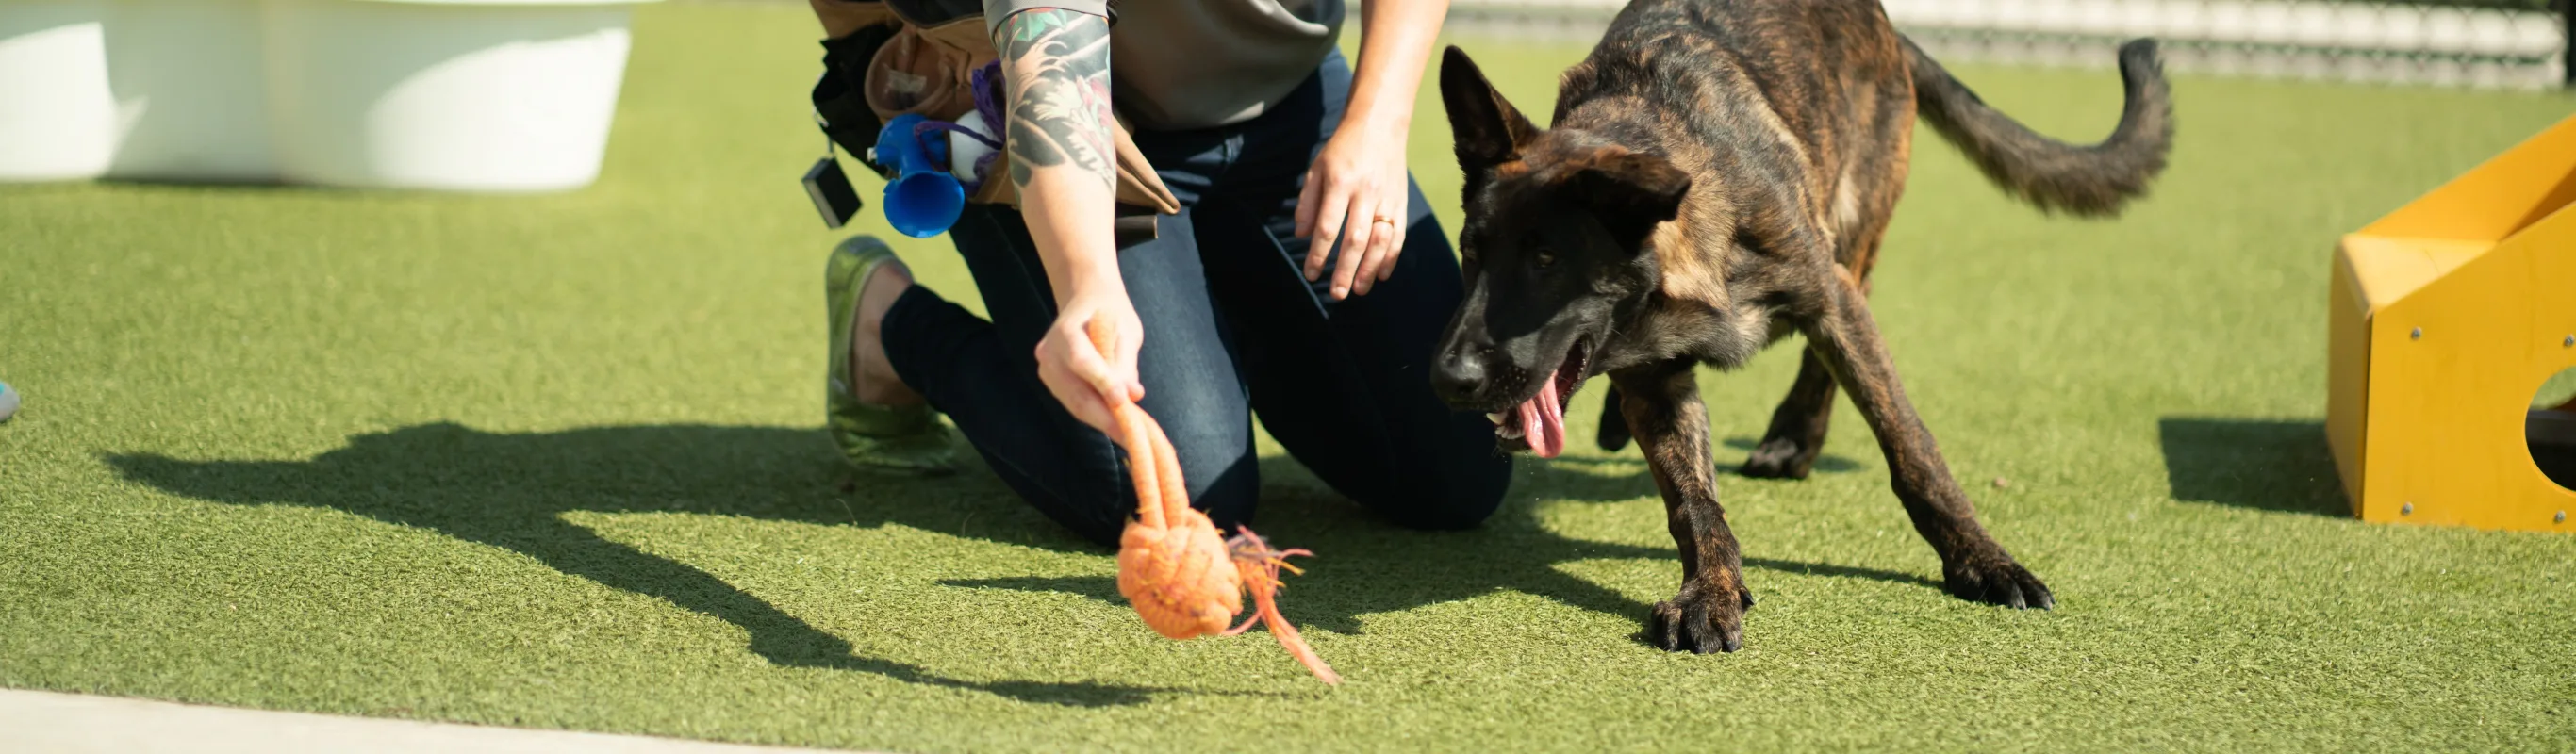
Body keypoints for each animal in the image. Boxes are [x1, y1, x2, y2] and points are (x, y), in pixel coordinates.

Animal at [1431, 0, 2173, 648]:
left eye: (1547, 260)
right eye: (1471, 251)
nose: (1448, 380)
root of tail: (1884, 25)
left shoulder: (1832, 300)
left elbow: (1912, 448)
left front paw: (1983, 561)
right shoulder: (1652, 381)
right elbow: (1693, 502)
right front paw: (1712, 590)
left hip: (1855, 235)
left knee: (1833, 344)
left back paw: (1794, 438)